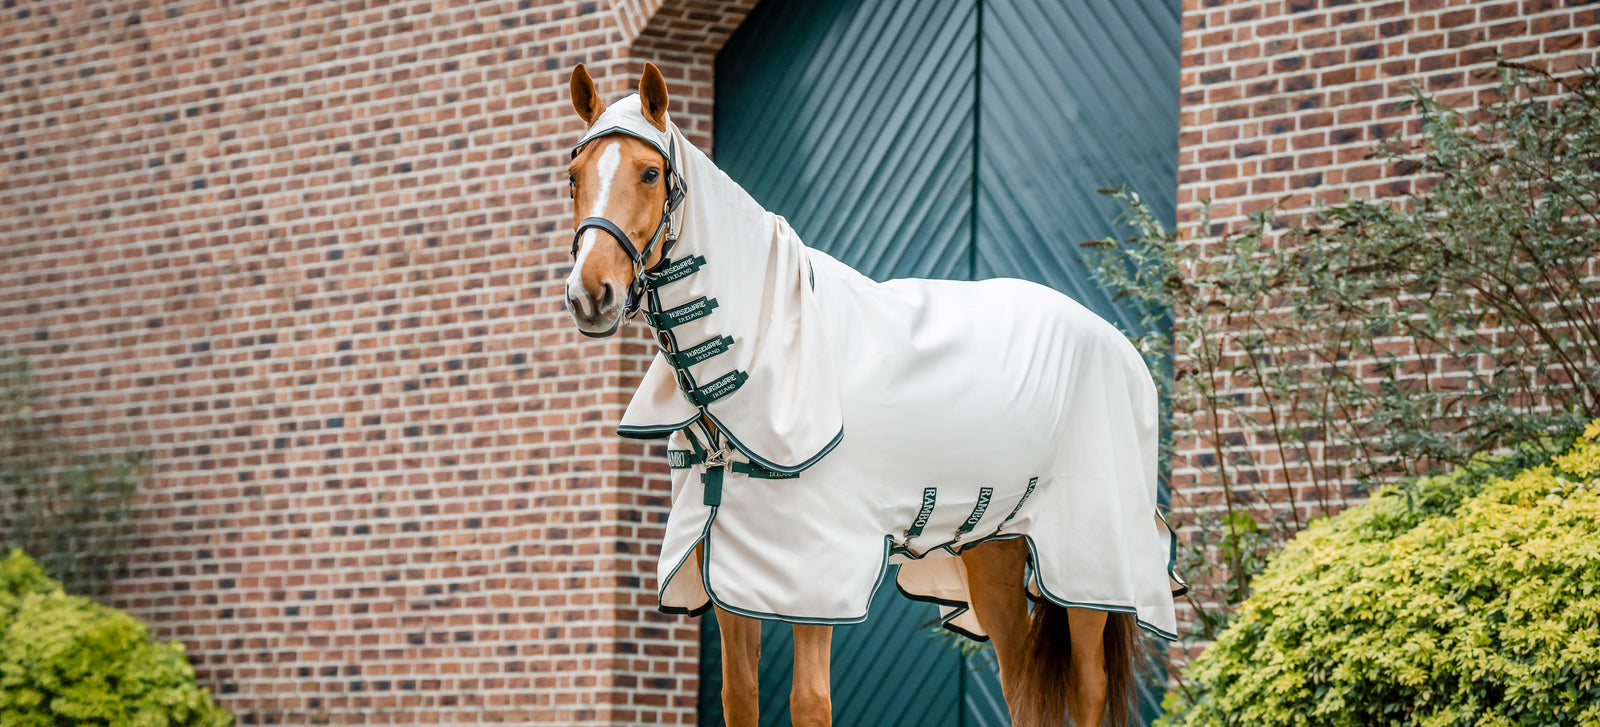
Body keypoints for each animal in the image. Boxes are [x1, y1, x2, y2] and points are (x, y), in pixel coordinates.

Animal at [561, 62, 1184, 727]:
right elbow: (740, 696)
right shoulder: (730, 568)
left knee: (1090, 686)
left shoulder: (812, 576)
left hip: (1092, 567)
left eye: (650, 173)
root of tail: (1120, 346)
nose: (589, 296)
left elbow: (809, 702)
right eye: (573, 177)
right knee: (1019, 684)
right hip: (994, 548)